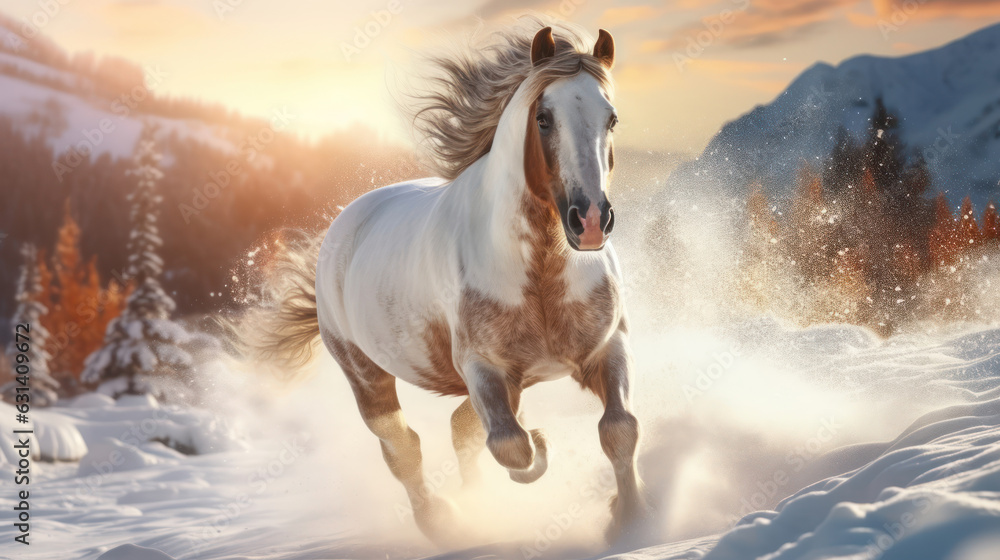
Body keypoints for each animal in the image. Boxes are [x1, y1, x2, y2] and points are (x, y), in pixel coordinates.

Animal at [250, 23, 648, 548]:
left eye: (612, 118)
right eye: (544, 119)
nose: (591, 222)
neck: (541, 275)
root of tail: (345, 221)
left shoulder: (606, 347)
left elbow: (619, 429)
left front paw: (630, 521)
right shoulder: (483, 368)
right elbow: (513, 446)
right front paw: (541, 446)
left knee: (459, 429)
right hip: (365, 374)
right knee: (403, 448)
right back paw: (446, 523)